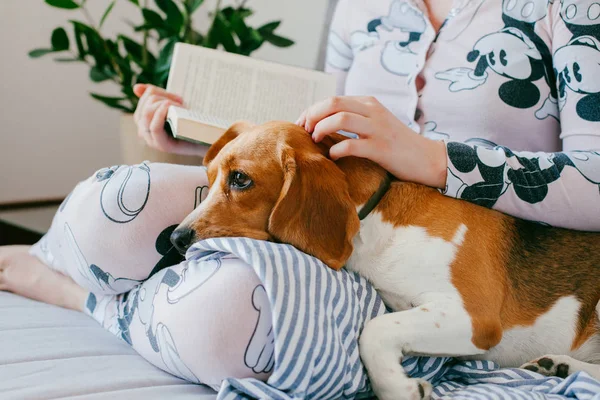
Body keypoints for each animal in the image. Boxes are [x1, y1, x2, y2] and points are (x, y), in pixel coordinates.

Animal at [171, 121, 600, 400]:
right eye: (209, 179)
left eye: (240, 179)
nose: (176, 238)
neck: (374, 219)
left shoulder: (475, 318)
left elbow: (374, 330)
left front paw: (398, 388)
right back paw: (560, 367)